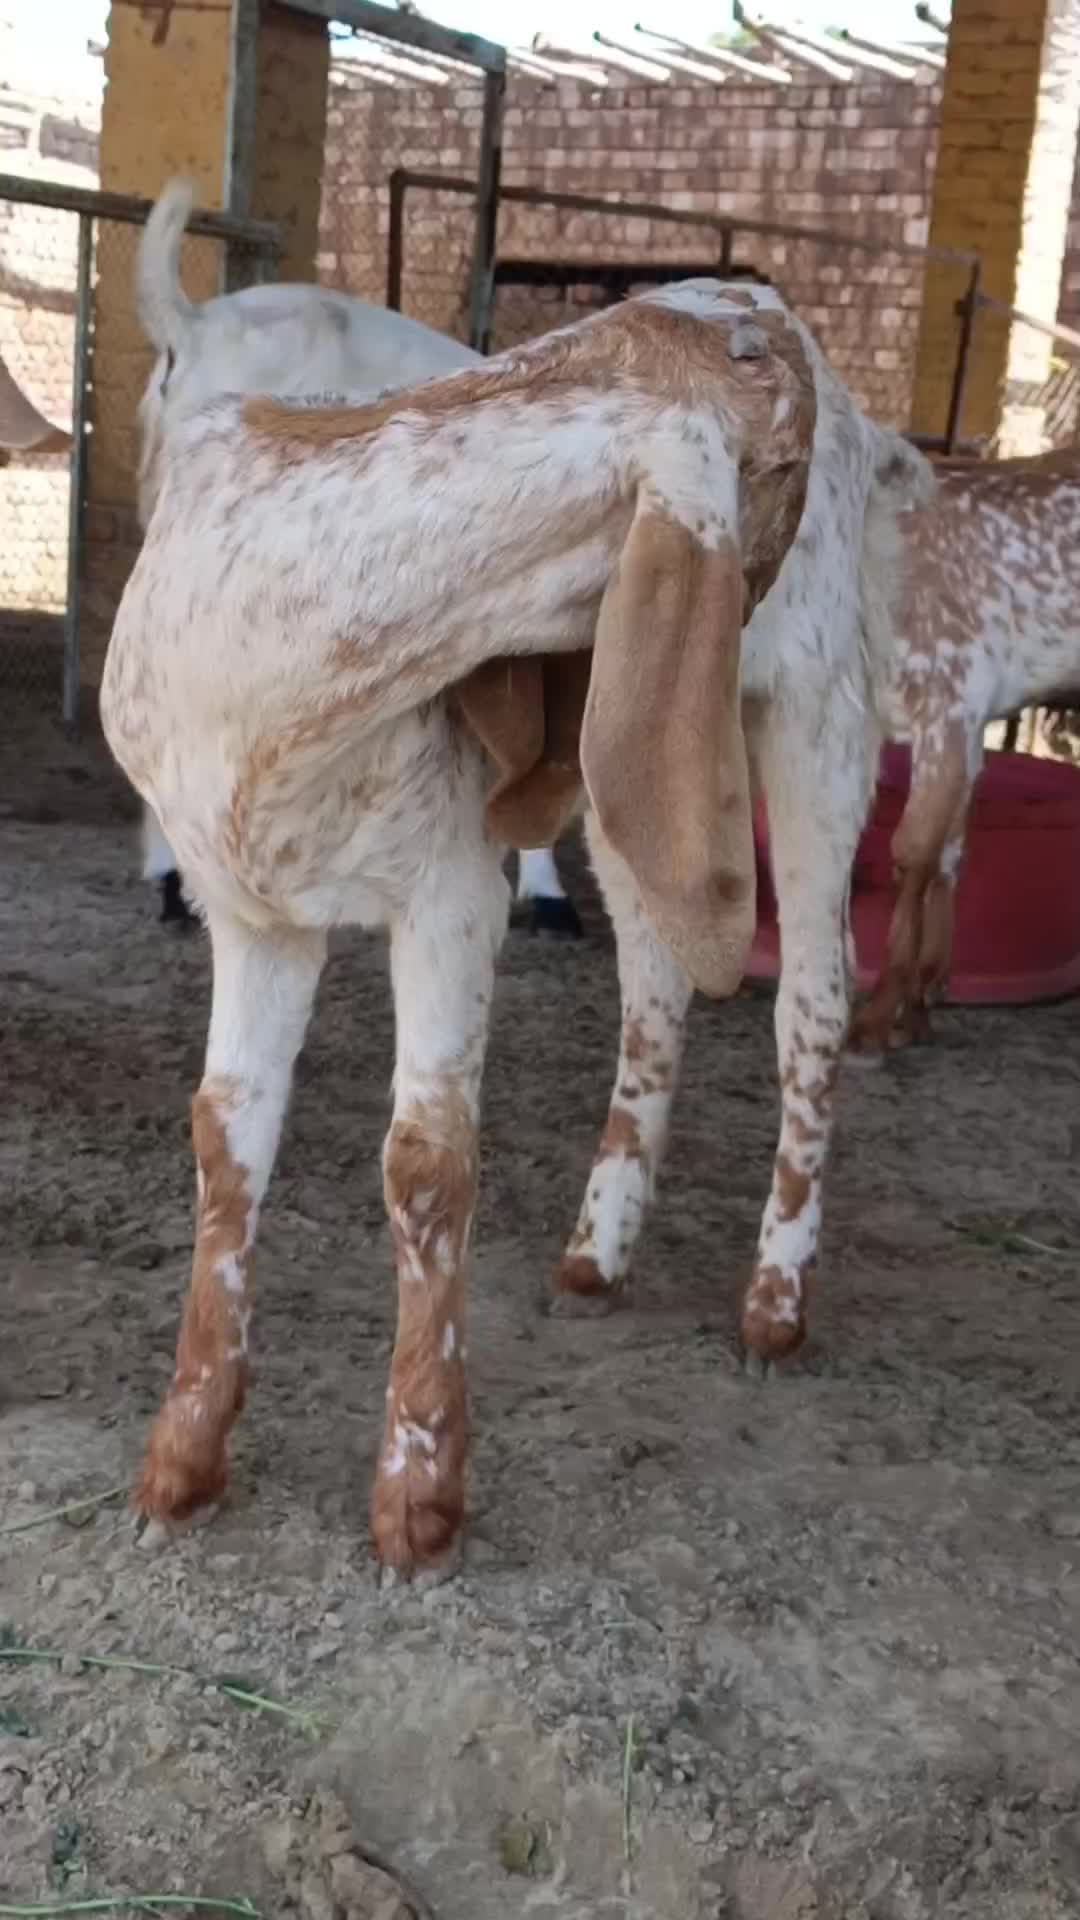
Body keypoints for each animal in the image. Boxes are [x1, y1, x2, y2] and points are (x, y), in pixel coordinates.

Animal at [100, 280, 933, 1579]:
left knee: (812, 998)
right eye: (773, 463)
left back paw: (775, 1301)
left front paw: (418, 1498)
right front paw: (181, 1461)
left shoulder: (448, 893)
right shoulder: (249, 910)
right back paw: (600, 1251)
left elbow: (426, 1161)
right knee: (656, 987)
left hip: (805, 717)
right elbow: (224, 1142)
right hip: (639, 755)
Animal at [849, 447, 1080, 1055]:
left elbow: (912, 853)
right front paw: (918, 1005)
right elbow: (948, 852)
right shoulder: (964, 727)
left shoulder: (950, 701)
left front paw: (877, 1015)